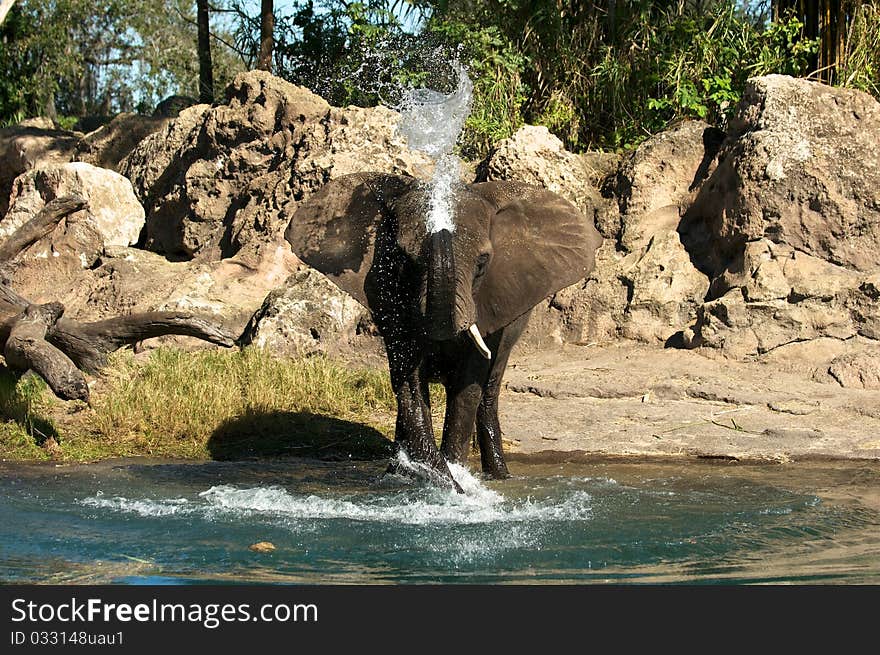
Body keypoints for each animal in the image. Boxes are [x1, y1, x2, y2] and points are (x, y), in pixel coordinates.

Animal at [286, 172, 600, 490]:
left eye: (482, 263)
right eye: (403, 259)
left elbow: (468, 384)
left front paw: (456, 476)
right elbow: (409, 380)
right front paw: (425, 478)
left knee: (489, 391)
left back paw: (498, 476)